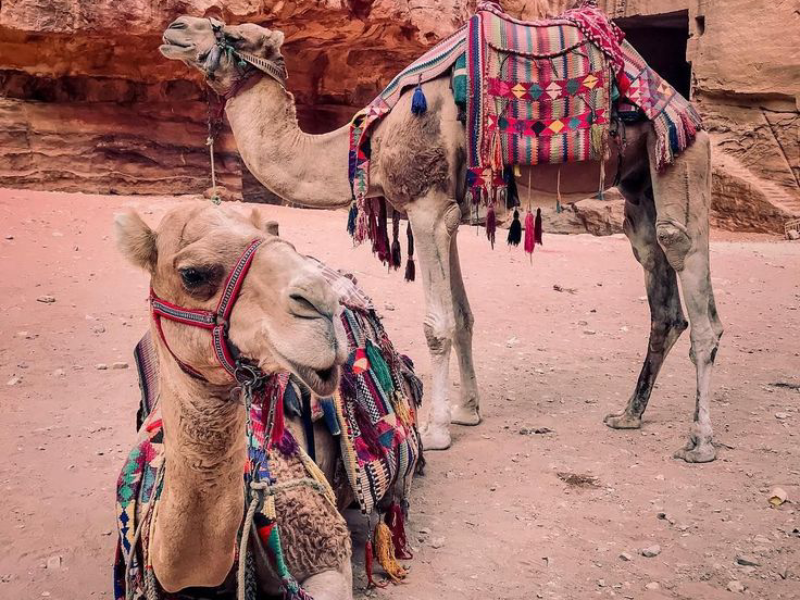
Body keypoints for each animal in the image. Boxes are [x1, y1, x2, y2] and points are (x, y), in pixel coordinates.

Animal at [159, 12, 723, 463]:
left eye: (232, 32)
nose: (175, 27)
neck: (367, 143)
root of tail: (685, 106)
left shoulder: (426, 209)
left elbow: (437, 325)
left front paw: (435, 430)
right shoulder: (444, 216)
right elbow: (464, 316)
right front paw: (468, 412)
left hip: (681, 154)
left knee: (690, 276)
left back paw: (699, 441)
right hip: (637, 183)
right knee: (657, 283)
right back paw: (628, 414)